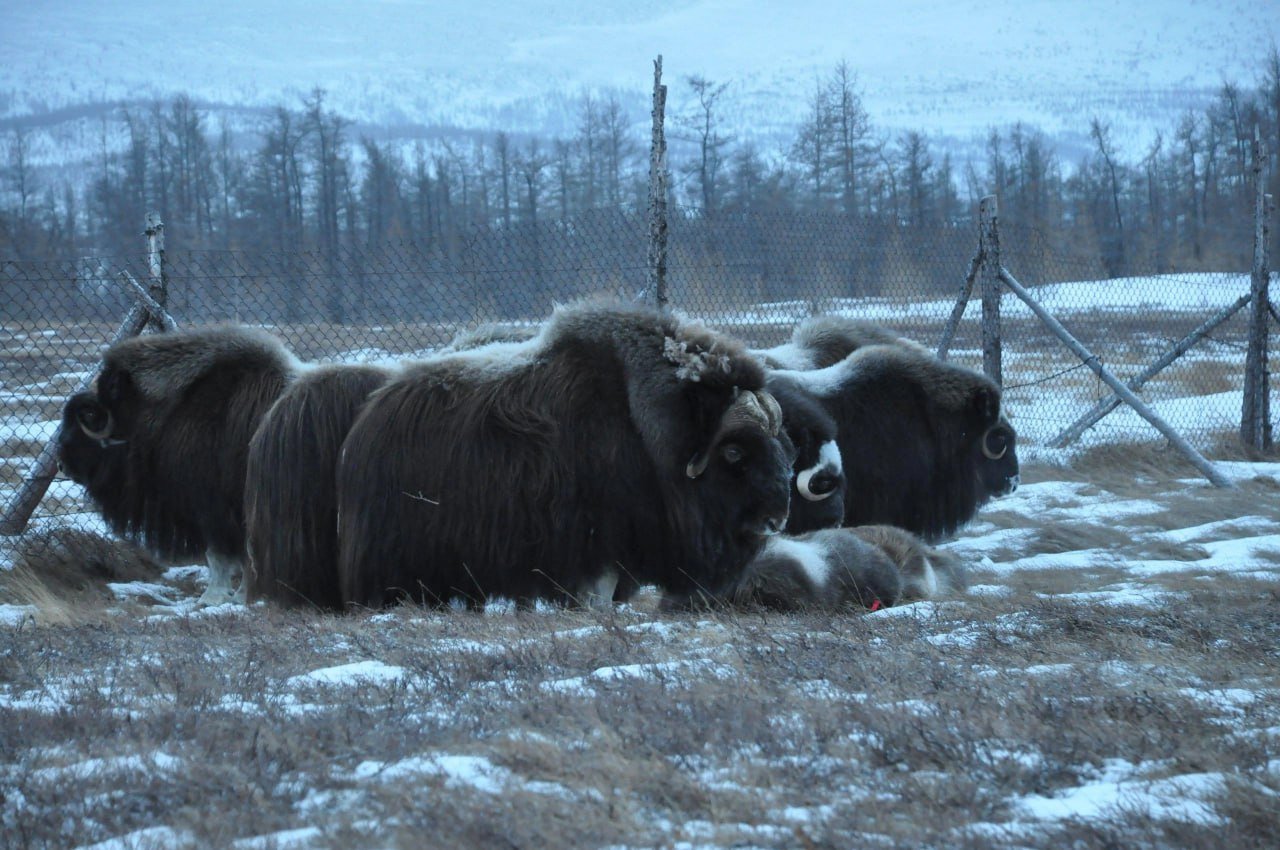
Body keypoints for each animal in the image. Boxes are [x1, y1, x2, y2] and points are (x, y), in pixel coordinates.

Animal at [325, 303, 793, 611]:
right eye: (733, 450)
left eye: (780, 445)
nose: (777, 519)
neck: (645, 430)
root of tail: (368, 418)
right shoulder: (596, 543)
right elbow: (597, 591)